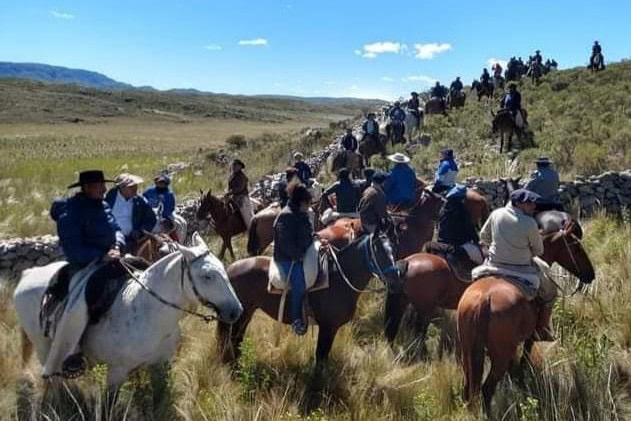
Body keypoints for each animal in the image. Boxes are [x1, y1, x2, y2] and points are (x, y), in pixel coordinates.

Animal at [12, 233, 244, 400]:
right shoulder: (117, 372)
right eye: (207, 276)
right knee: (53, 377)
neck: (147, 311)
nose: (236, 311)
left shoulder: (161, 366)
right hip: (44, 347)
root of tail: (28, 273)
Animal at [218, 233, 400, 364]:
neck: (339, 279)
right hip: (242, 314)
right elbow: (320, 358)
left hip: (247, 313)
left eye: (393, 250)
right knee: (232, 339)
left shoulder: (330, 329)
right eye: (378, 251)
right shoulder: (327, 328)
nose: (396, 279)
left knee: (236, 339)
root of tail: (230, 269)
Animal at [456, 225, 596, 412]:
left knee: (468, 388)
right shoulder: (529, 337)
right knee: (487, 389)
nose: (591, 274)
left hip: (467, 351)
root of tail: (483, 301)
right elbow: (525, 358)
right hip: (499, 355)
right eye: (576, 248)